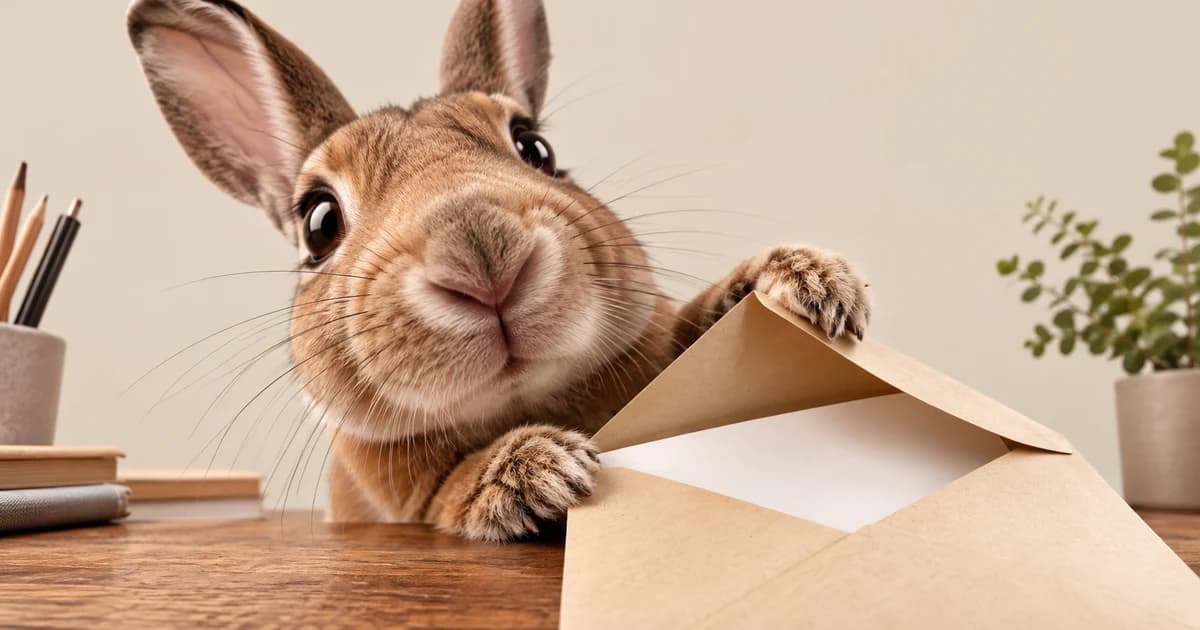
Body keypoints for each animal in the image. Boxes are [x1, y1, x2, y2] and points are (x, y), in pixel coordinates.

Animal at [127, 0, 870, 541]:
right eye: (318, 222)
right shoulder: (404, 496)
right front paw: (538, 471)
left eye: (535, 148)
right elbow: (446, 497)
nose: (481, 253)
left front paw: (805, 282)